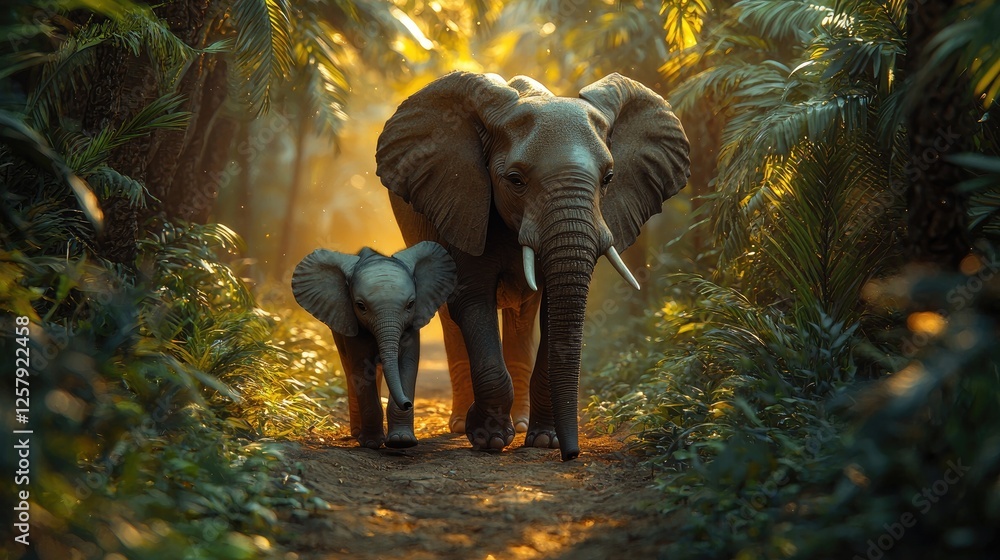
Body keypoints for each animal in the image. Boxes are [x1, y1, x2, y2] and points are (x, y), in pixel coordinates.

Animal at [291, 242, 456, 449]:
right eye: (361, 306)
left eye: (411, 304)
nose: (408, 403)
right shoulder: (353, 325)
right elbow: (362, 369)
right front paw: (371, 443)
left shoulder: (411, 327)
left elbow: (406, 365)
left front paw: (401, 441)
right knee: (350, 370)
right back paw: (356, 434)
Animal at [375, 71, 690, 461]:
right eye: (515, 180)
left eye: (608, 179)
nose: (572, 454)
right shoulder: (464, 203)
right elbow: (471, 300)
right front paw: (489, 439)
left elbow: (553, 309)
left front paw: (543, 441)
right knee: (450, 316)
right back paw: (461, 425)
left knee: (523, 315)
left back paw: (522, 424)